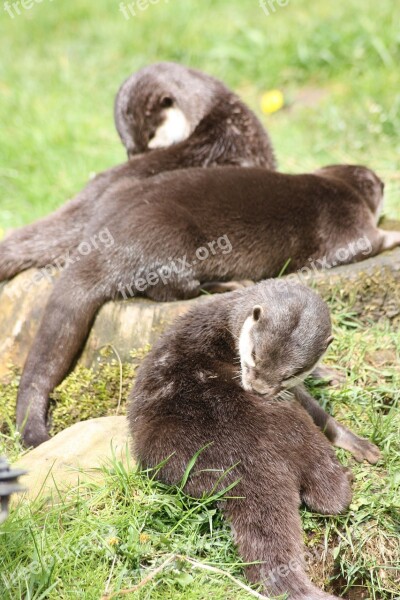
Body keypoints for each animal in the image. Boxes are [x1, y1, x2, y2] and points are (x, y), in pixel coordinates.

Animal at [10, 162, 396, 448]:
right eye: (252, 357)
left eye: (289, 373)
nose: (258, 391)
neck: (340, 188)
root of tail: (100, 239)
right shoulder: (347, 226)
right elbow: (369, 242)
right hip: (172, 242)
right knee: (170, 288)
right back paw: (230, 283)